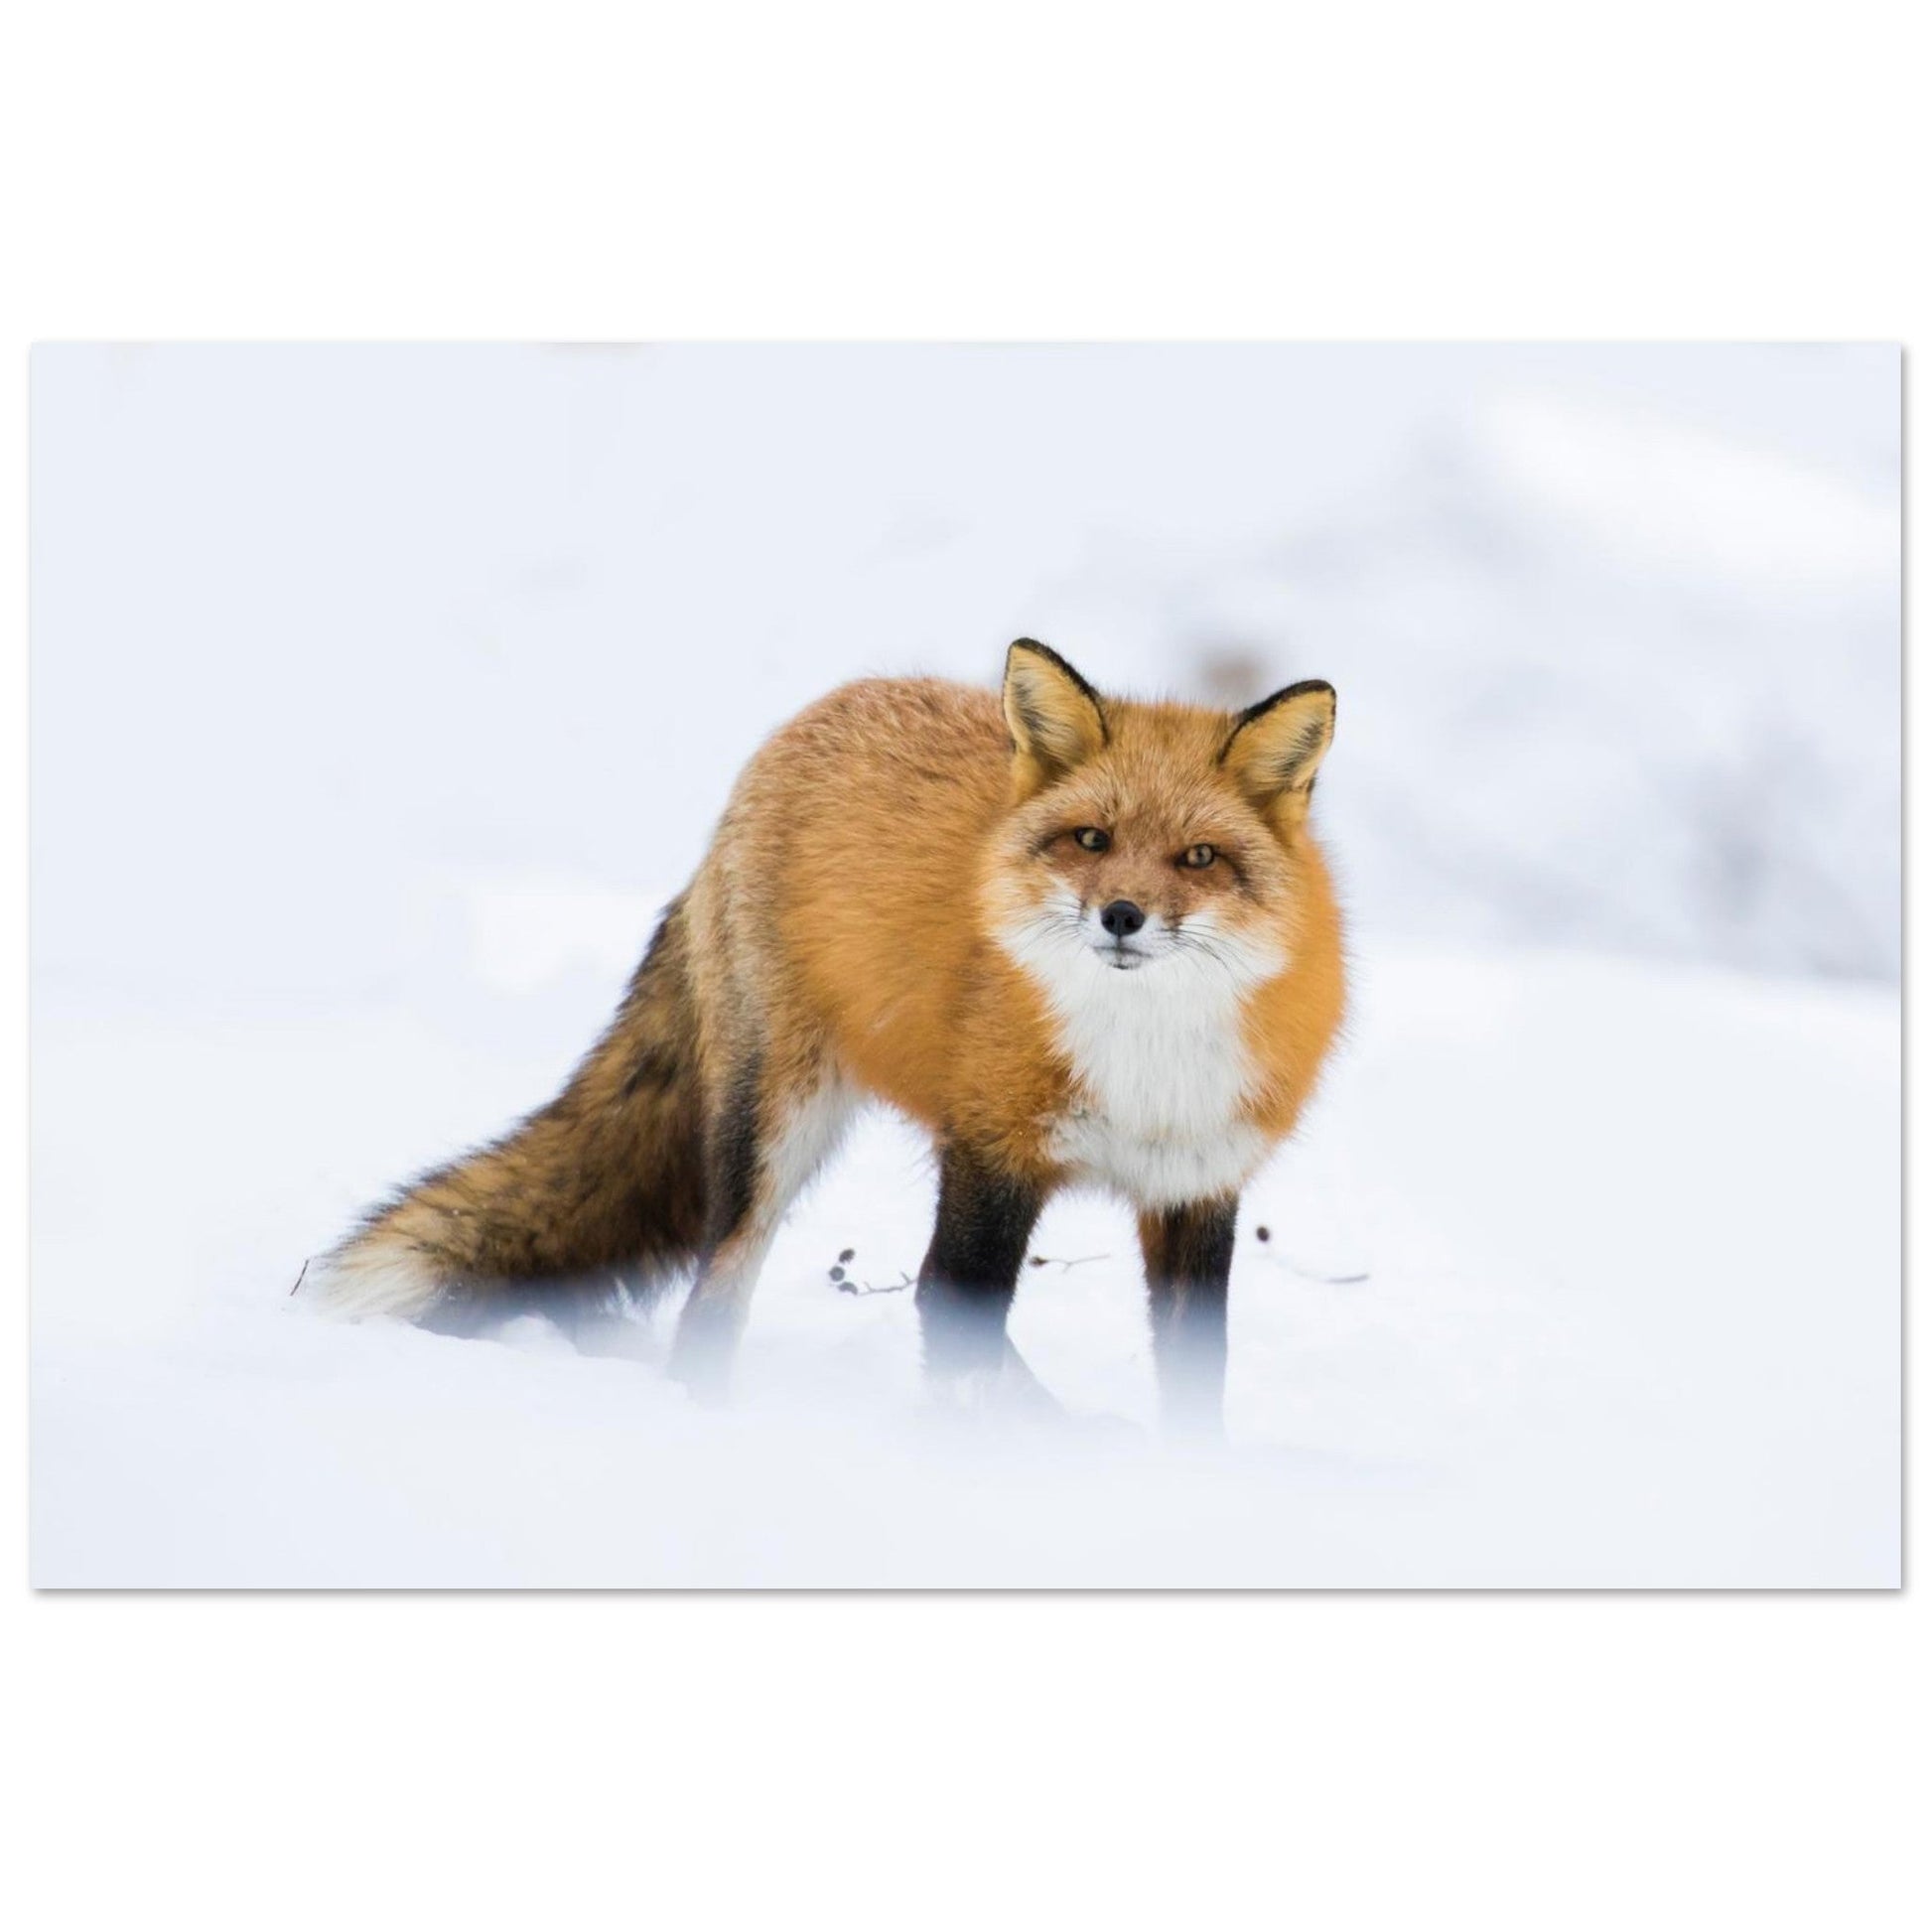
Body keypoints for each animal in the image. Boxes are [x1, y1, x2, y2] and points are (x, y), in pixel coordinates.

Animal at [309, 640, 1345, 1426]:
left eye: (1199, 857)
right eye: (1092, 839)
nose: (1122, 916)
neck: (1144, 1063)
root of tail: (813, 715)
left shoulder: (1197, 1185)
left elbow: (1193, 1383)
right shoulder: (989, 1157)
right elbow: (952, 1316)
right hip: (773, 1130)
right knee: (717, 1293)